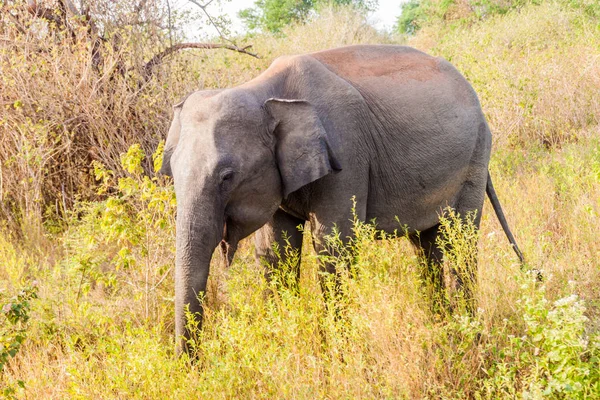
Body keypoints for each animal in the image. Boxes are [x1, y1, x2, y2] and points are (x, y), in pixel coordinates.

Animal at [161, 45, 524, 354]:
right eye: (172, 173)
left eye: (227, 176)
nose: (190, 366)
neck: (264, 90)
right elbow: (277, 252)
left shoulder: (346, 153)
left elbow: (333, 246)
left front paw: (340, 353)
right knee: (426, 244)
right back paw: (440, 327)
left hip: (475, 157)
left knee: (461, 239)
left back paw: (468, 338)